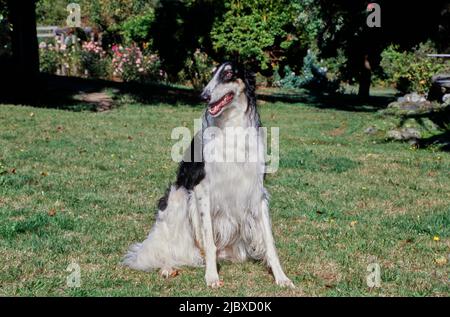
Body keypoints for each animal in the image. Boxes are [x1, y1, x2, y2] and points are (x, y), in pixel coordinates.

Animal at [122, 61, 296, 286]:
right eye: (212, 74)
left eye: (228, 74)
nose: (204, 96)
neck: (231, 127)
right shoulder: (202, 189)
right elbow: (209, 241)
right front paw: (212, 276)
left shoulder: (257, 190)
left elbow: (269, 242)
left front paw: (281, 277)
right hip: (178, 197)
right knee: (168, 251)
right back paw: (168, 267)